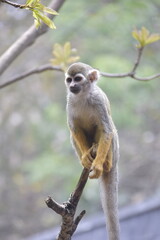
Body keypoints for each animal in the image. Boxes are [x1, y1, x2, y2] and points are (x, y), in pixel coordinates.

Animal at [64, 62, 119, 240]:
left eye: (78, 79)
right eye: (69, 80)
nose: (72, 86)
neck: (83, 95)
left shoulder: (98, 101)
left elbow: (106, 130)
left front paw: (98, 166)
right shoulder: (70, 101)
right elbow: (74, 129)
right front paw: (86, 157)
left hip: (114, 153)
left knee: (110, 129)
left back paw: (105, 164)